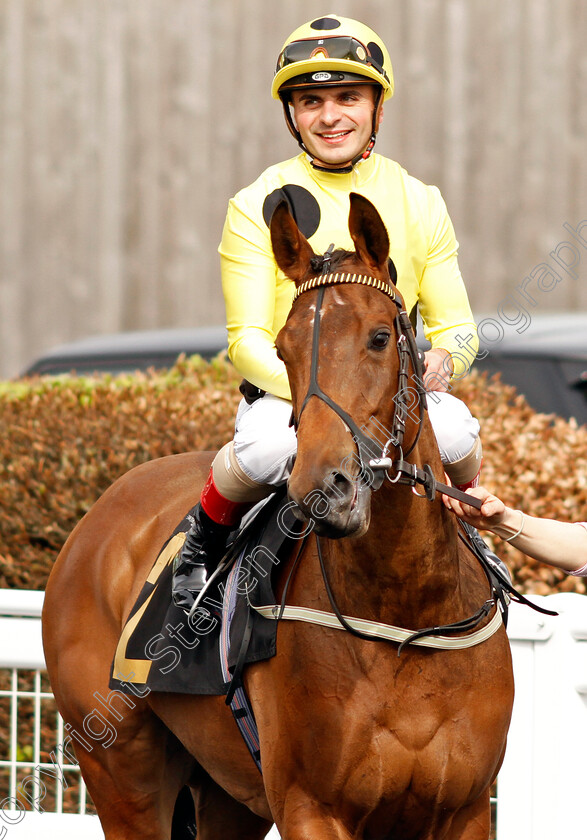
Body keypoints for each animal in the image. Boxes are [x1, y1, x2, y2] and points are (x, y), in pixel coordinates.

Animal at [42, 197, 516, 840]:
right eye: (284, 349)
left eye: (379, 337)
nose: (325, 488)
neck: (408, 614)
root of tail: (95, 520)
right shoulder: (310, 805)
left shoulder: (465, 811)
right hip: (121, 772)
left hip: (226, 793)